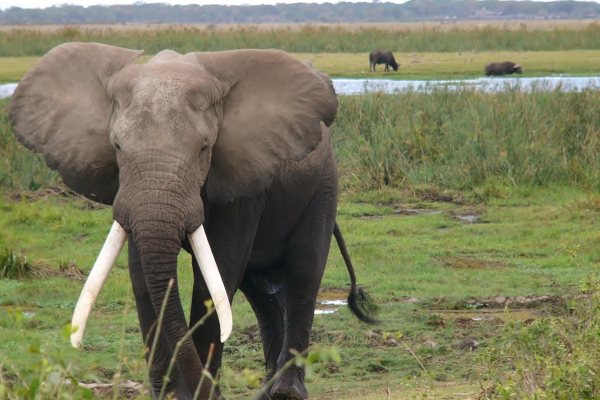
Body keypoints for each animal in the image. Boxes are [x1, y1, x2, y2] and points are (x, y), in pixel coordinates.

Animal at [5, 43, 376, 400]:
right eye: (117, 146)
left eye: (204, 148)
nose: (215, 394)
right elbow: (142, 276)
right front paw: (172, 396)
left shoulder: (241, 178)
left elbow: (218, 271)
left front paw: (200, 394)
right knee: (259, 292)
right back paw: (266, 390)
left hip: (322, 186)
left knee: (303, 273)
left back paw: (285, 392)